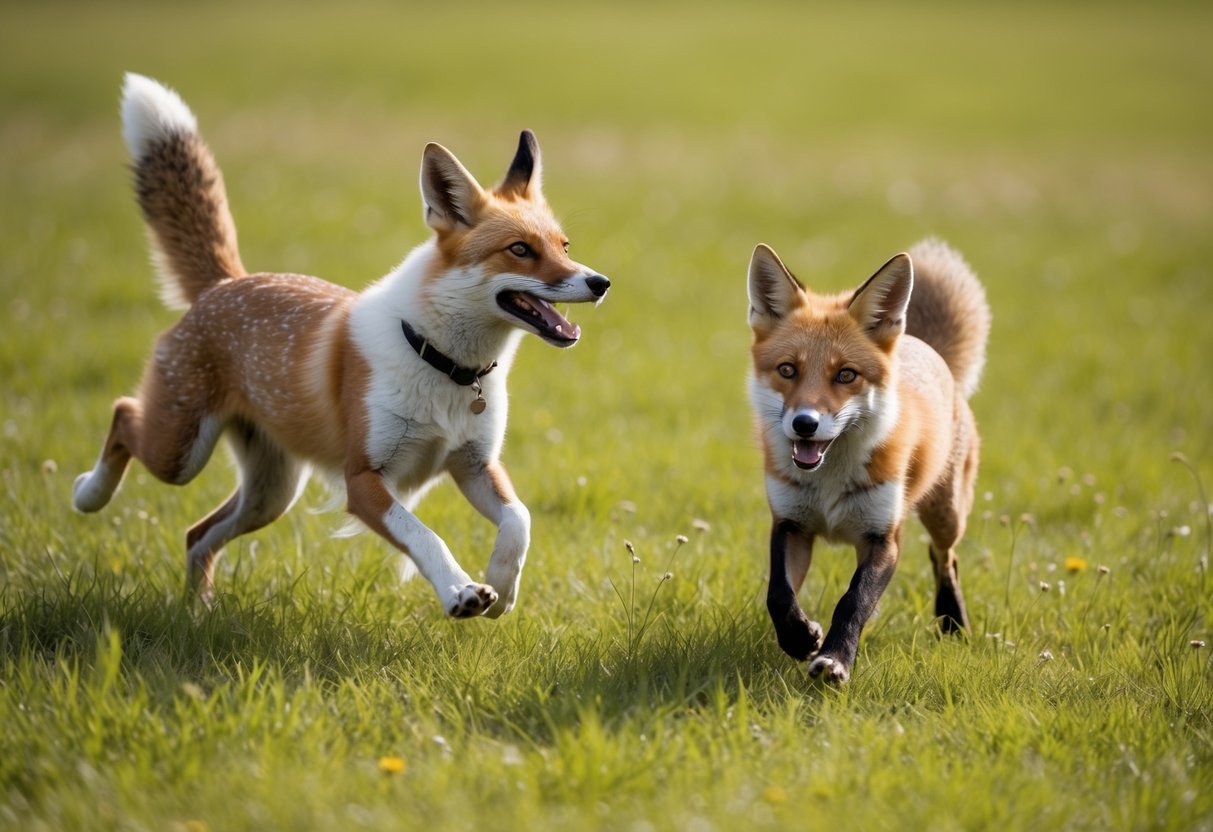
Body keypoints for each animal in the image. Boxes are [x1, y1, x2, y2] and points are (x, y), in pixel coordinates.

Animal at [73, 73, 609, 618]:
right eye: (520, 250)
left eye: (564, 247)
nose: (600, 283)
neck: (443, 365)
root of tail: (227, 282)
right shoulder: (364, 479)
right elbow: (426, 537)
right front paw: (459, 590)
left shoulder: (475, 466)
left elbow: (520, 521)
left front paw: (503, 587)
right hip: (181, 454)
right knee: (122, 413)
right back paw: (88, 494)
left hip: (270, 493)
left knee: (195, 535)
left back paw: (198, 614)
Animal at [747, 238, 990, 682]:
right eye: (787, 370)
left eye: (846, 375)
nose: (804, 424)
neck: (828, 482)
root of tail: (921, 344)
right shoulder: (790, 524)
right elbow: (778, 595)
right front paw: (800, 638)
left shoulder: (882, 537)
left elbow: (853, 600)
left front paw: (835, 658)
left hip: (945, 514)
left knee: (945, 557)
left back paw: (952, 622)